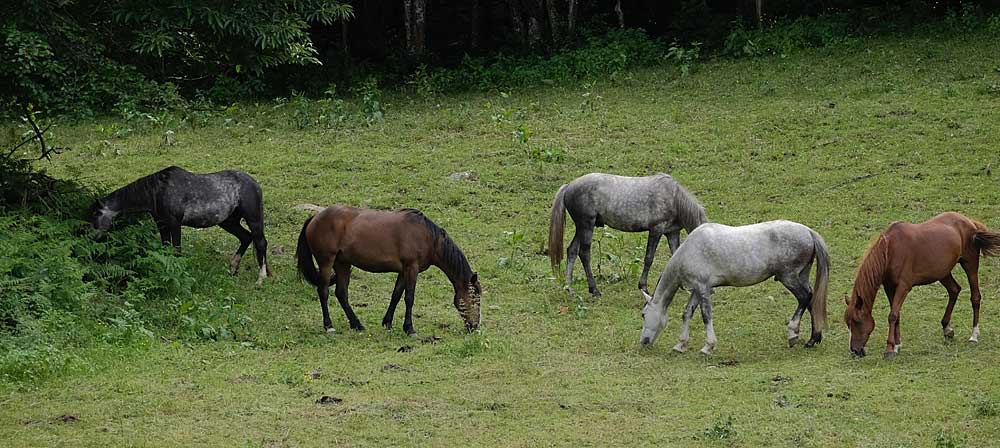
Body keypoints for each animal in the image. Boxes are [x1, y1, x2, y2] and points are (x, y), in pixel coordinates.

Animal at [87, 164, 270, 284]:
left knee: (260, 242)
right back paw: (232, 269)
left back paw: (261, 278)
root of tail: (255, 184)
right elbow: (165, 249)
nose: (90, 238)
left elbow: (176, 250)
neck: (158, 191)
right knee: (246, 238)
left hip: (253, 219)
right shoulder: (161, 225)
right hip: (228, 222)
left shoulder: (174, 224)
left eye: (96, 214)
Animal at [294, 206, 482, 336]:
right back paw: (329, 326)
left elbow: (396, 295)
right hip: (326, 262)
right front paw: (409, 329)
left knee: (341, 293)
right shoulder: (411, 268)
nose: (474, 326)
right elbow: (409, 298)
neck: (428, 237)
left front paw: (388, 323)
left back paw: (357, 324)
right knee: (323, 291)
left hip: (343, 264)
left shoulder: (404, 271)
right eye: (475, 298)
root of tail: (315, 218)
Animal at [548, 175, 712, 298]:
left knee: (572, 251)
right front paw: (643, 287)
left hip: (581, 228)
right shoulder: (656, 230)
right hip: (586, 225)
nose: (710, 289)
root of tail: (569, 186)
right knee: (584, 254)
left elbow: (675, 256)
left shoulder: (672, 232)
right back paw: (594, 290)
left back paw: (569, 287)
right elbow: (649, 259)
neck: (673, 197)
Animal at [844, 212, 1000, 358]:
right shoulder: (889, 287)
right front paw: (897, 345)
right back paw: (947, 329)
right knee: (954, 290)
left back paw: (974, 336)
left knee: (975, 297)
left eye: (857, 321)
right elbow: (897, 315)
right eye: (847, 323)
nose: (854, 351)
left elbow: (892, 315)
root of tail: (970, 222)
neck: (890, 250)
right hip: (942, 273)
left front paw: (889, 350)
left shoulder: (903, 287)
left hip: (970, 264)